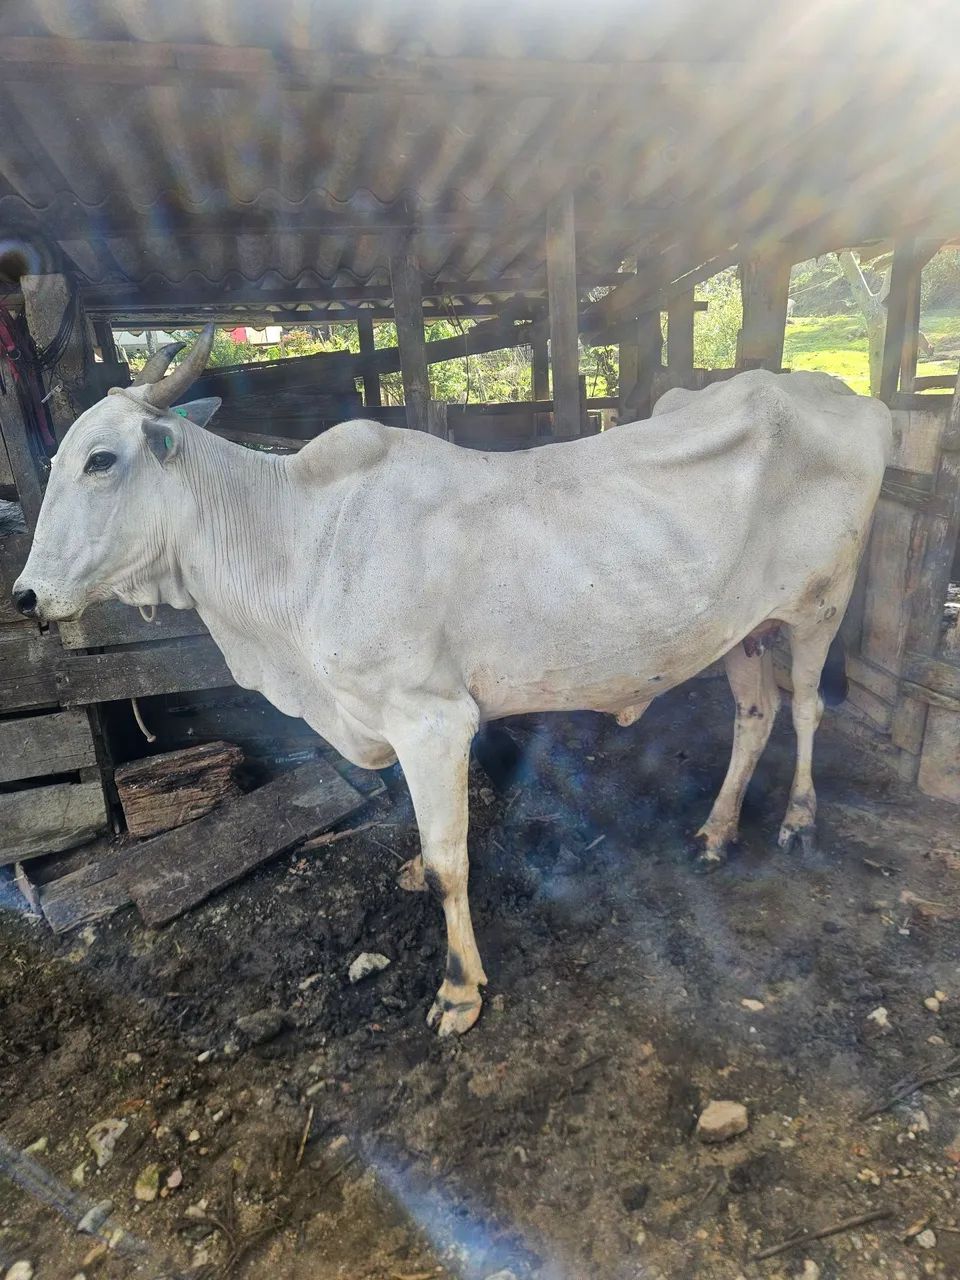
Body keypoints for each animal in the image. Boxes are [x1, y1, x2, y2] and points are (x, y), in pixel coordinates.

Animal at [13, 326, 892, 1035]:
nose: (24, 597)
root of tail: (847, 397)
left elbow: (449, 862)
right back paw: (715, 831)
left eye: (101, 460)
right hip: (745, 627)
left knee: (806, 711)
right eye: (55, 460)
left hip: (820, 605)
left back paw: (798, 821)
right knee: (755, 713)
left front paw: (460, 989)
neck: (298, 545)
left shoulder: (432, 722)